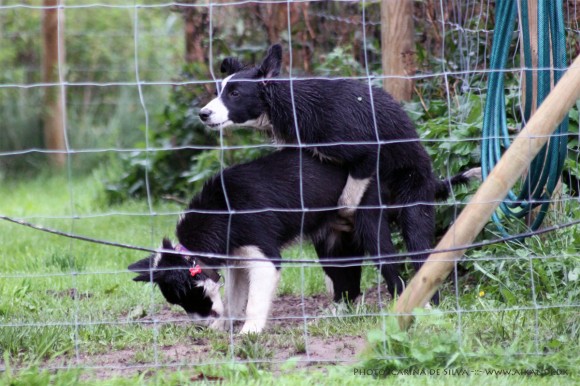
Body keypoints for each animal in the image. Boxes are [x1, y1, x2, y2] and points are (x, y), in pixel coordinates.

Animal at [128, 149, 472, 334]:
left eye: (189, 294)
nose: (199, 326)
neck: (221, 213)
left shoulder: (265, 257)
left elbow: (254, 301)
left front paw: (250, 331)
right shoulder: (238, 259)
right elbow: (235, 298)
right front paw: (223, 327)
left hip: (369, 223)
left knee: (395, 268)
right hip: (331, 243)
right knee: (348, 284)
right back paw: (339, 313)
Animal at [199, 43, 448, 300]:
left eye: (235, 94)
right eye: (219, 91)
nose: (203, 114)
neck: (290, 106)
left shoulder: (356, 143)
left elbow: (354, 185)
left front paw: (345, 205)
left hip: (411, 189)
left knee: (415, 242)